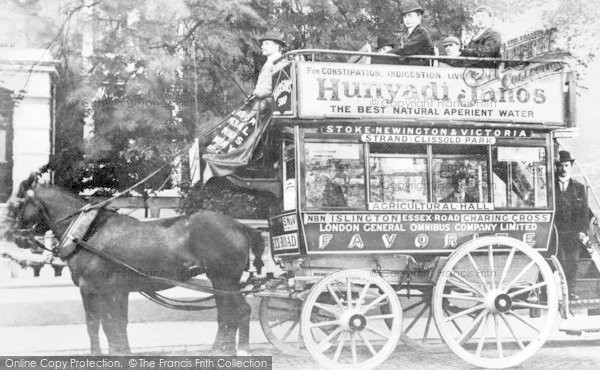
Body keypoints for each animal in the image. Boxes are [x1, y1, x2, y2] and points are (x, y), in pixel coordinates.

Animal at [8, 173, 266, 356]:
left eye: (18, 203)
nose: (14, 235)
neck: (87, 232)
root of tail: (240, 225)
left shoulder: (91, 288)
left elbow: (97, 324)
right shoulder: (116, 290)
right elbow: (116, 325)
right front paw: (121, 352)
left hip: (224, 279)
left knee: (240, 312)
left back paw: (241, 350)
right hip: (219, 282)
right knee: (226, 315)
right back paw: (220, 349)